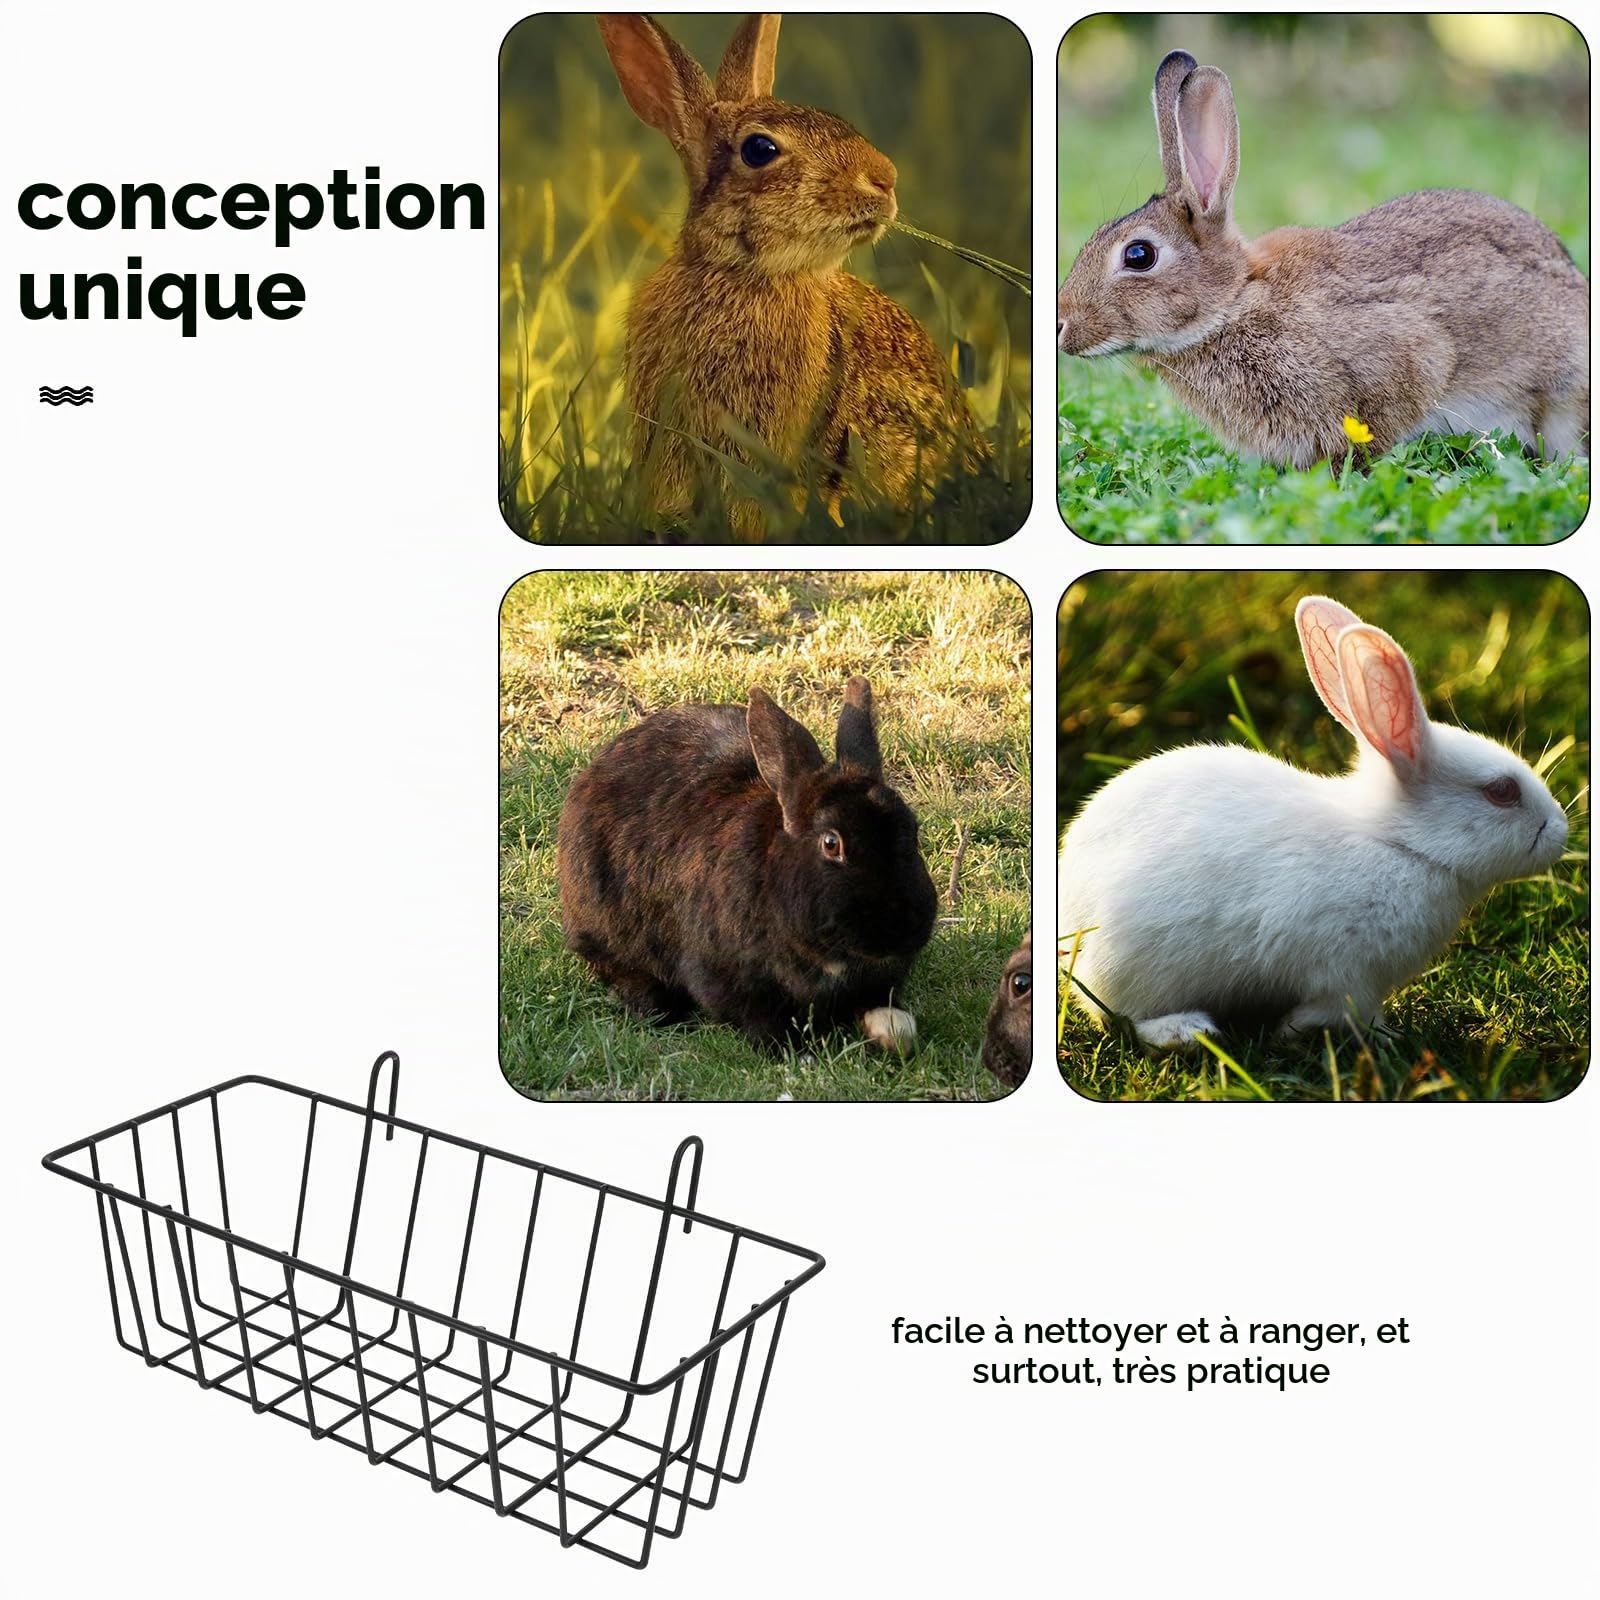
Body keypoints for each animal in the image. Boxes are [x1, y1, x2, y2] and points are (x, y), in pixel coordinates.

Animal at [558, 675, 938, 1052]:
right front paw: (796, 1053)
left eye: (912, 827)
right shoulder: (728, 980)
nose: (900, 930)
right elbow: (761, 1022)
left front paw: (891, 1030)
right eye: (832, 844)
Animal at [1059, 596, 1570, 1049]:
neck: (1399, 845)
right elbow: (1344, 1010)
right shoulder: (1347, 974)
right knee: (1118, 1014)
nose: (1561, 831)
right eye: (1501, 791)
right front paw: (1338, 1034)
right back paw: (1186, 1032)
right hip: (1130, 965)